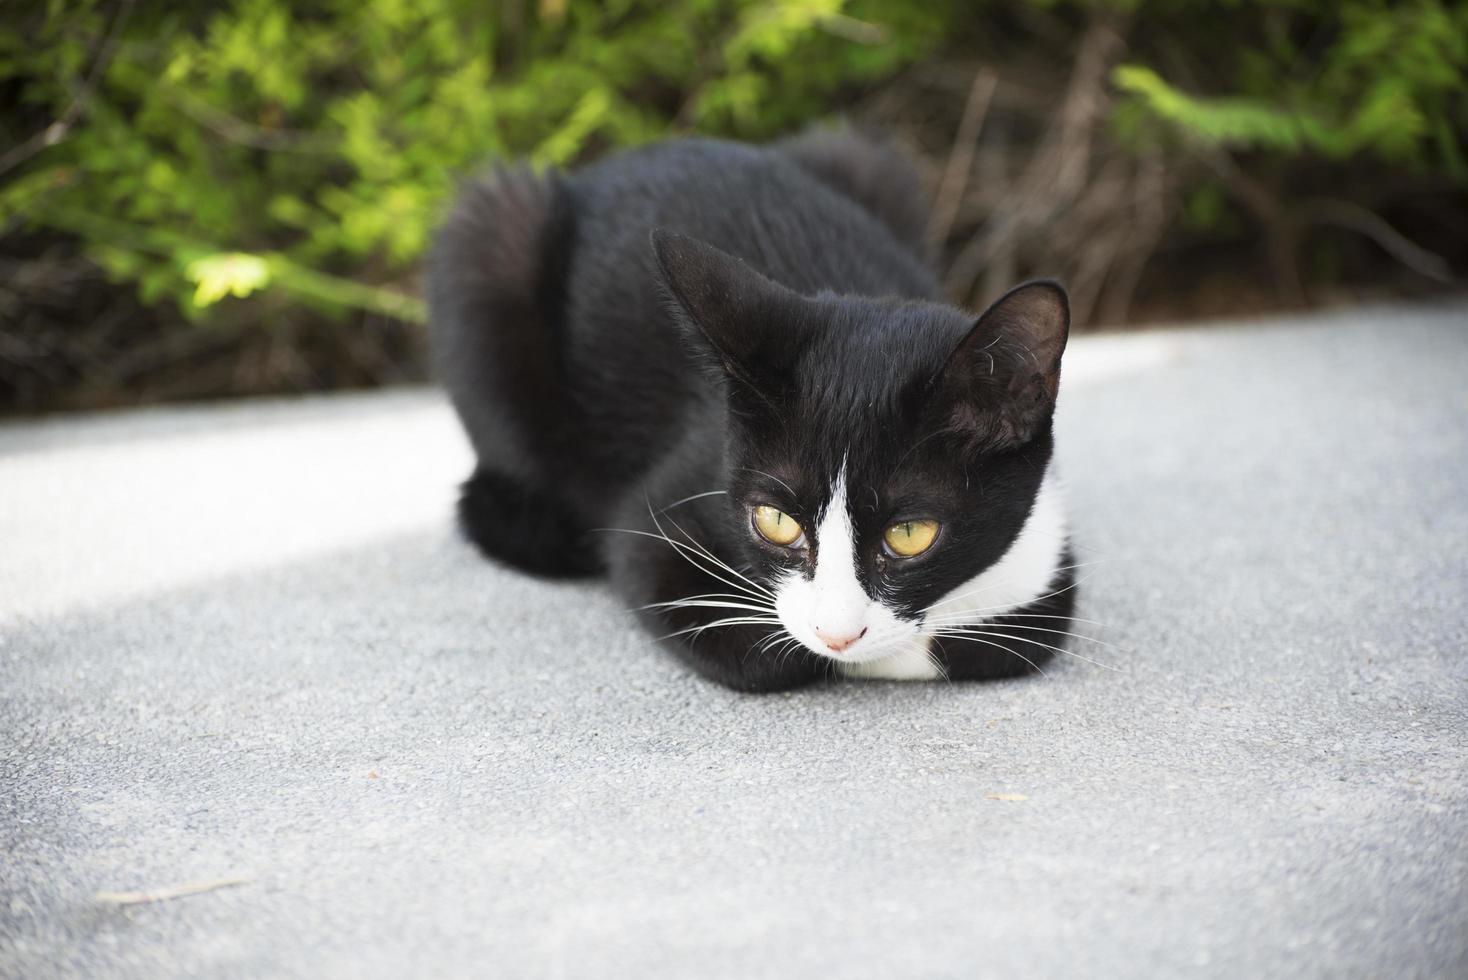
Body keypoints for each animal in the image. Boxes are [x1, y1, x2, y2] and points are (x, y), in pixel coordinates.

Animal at [428, 129, 1074, 692]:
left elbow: (1016, 638)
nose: (837, 635)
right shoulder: (668, 500)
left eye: (911, 534)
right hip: (489, 242)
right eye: (775, 521)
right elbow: (755, 648)